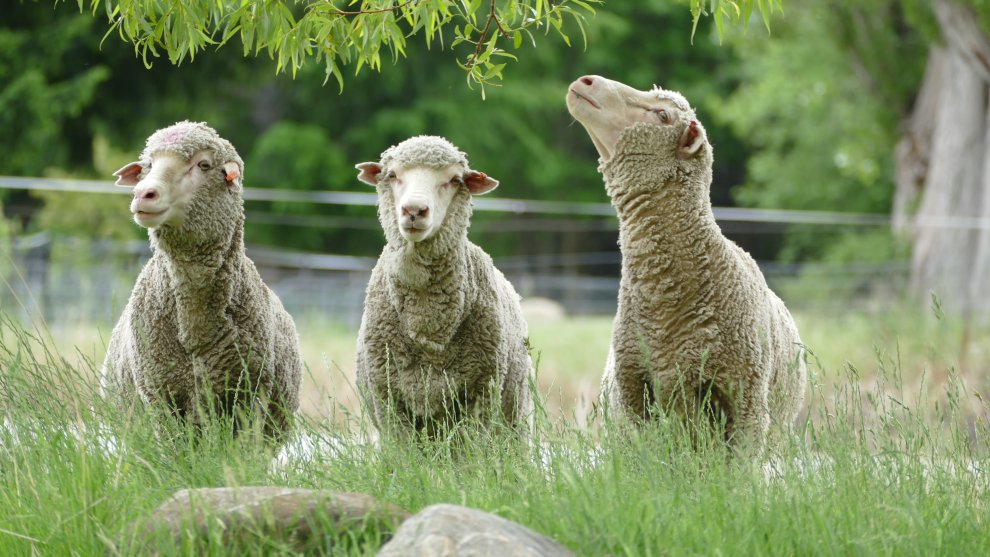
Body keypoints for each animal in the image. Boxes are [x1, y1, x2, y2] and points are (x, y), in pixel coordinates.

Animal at [101, 120, 304, 444]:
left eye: (204, 165)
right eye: (147, 166)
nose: (143, 194)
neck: (194, 325)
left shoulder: (246, 399)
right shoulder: (160, 397)